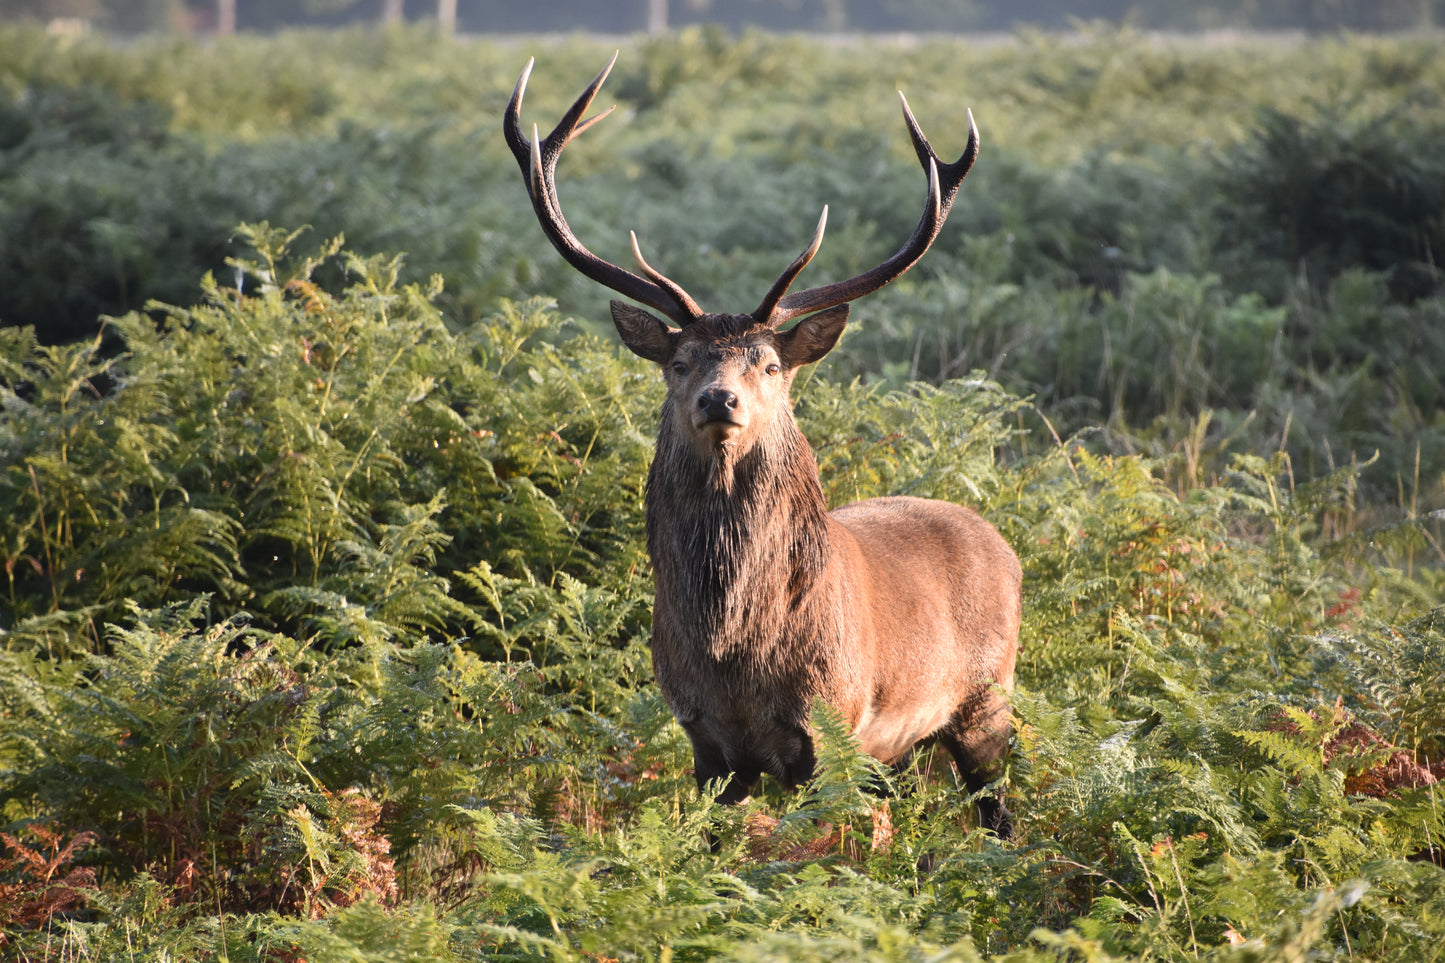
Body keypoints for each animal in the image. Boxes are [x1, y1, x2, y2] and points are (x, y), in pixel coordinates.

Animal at [504, 54, 1021, 838]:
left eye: (770, 364)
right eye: (678, 361)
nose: (720, 399)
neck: (734, 654)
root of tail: (1005, 545)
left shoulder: (832, 729)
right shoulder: (707, 746)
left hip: (986, 701)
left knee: (999, 812)